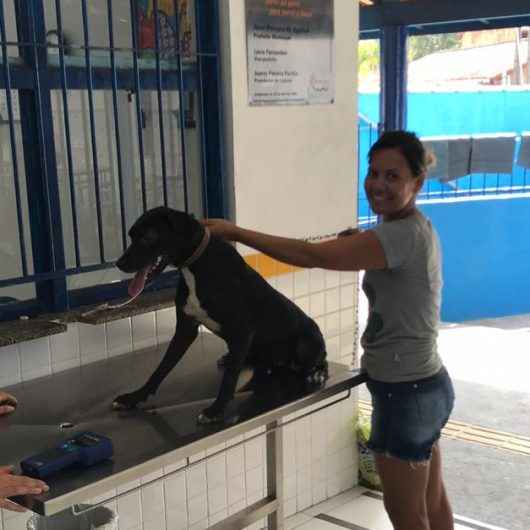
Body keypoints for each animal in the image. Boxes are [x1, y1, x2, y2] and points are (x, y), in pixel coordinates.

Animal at [113, 205, 324, 420]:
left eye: (149, 235)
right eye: (131, 235)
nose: (119, 263)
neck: (194, 267)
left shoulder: (242, 330)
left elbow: (229, 379)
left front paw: (216, 409)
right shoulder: (185, 329)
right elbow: (161, 368)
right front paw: (135, 397)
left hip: (305, 343)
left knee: (313, 361)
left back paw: (315, 372)